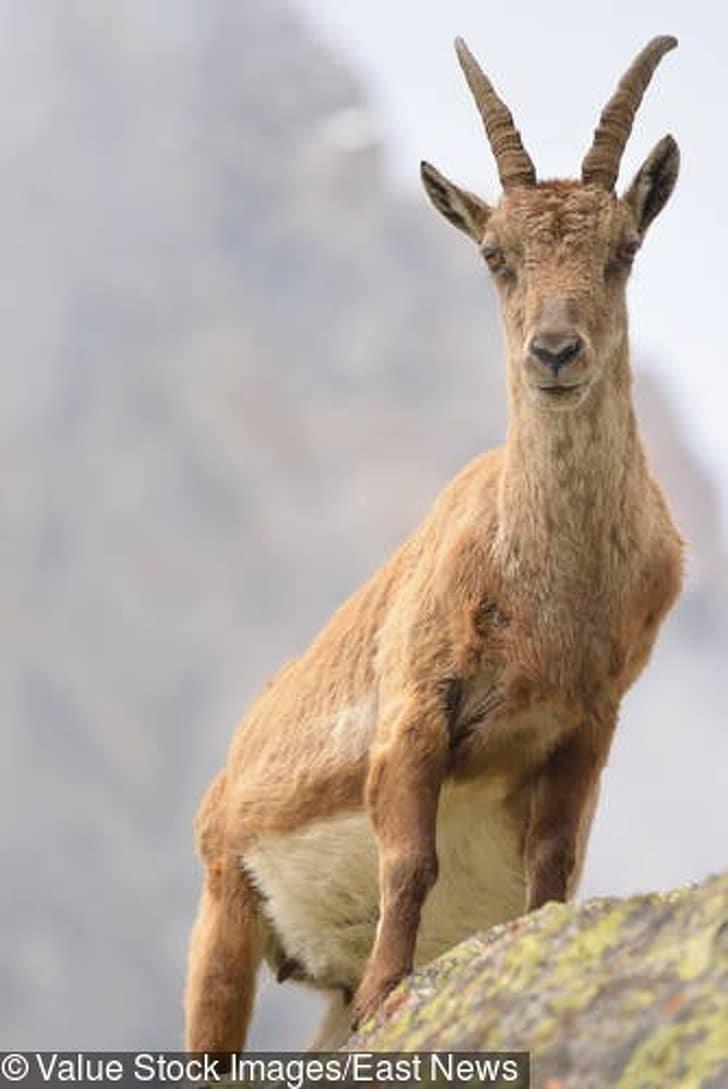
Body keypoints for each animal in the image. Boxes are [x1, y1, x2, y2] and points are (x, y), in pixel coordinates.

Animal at [185, 35, 684, 1052]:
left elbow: (549, 867)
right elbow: (409, 861)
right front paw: (390, 991)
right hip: (224, 906)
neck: (551, 591)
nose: (556, 351)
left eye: (623, 249)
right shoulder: (416, 707)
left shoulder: (586, 720)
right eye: (496, 255)